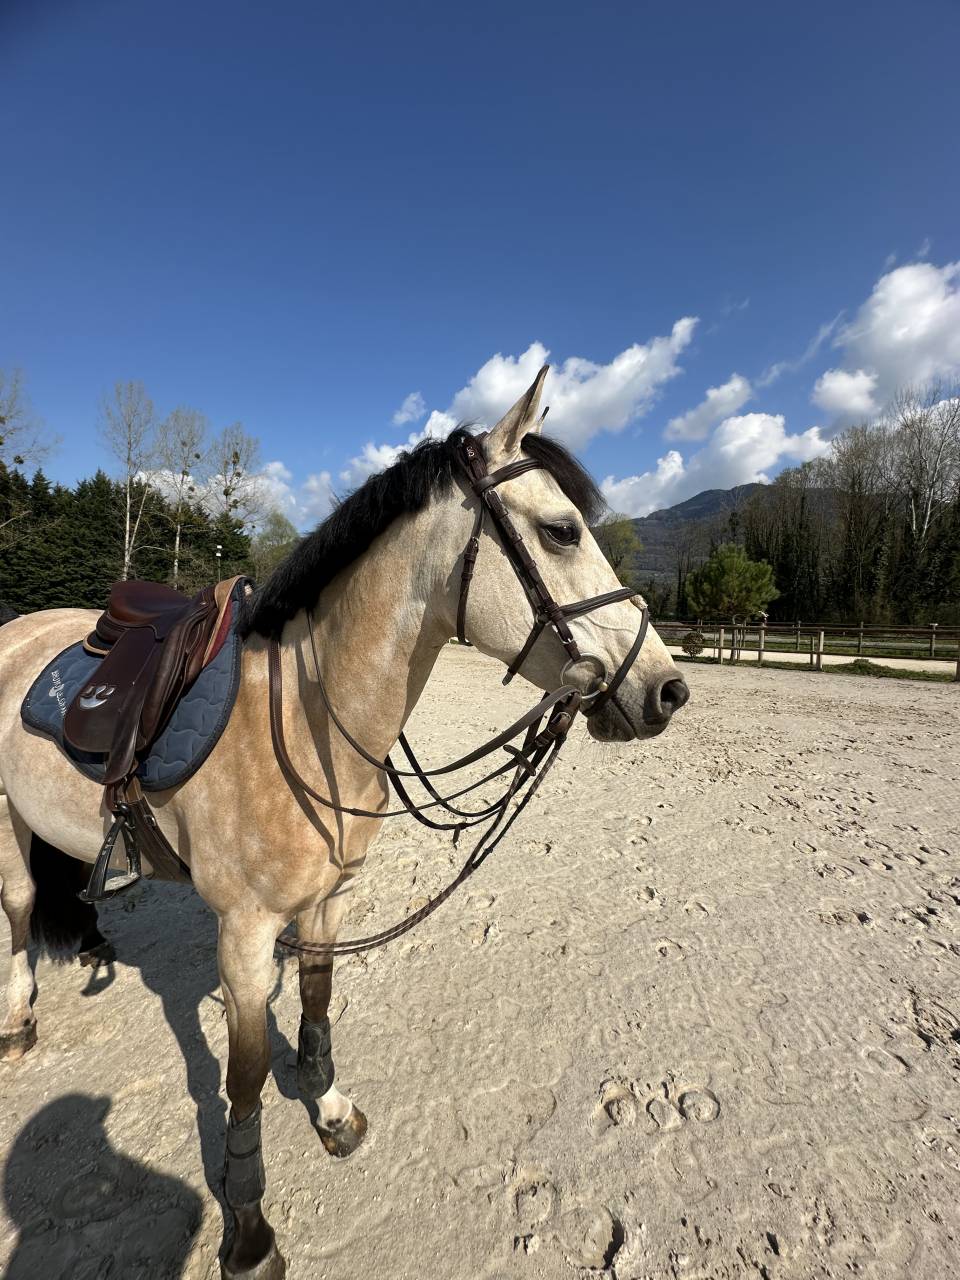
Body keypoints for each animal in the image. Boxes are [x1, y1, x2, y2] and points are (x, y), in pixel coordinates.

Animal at [0, 368, 688, 1278]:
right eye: (561, 530)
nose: (667, 688)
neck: (305, 717)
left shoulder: (329, 902)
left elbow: (319, 1005)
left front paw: (329, 1110)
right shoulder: (246, 934)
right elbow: (244, 1079)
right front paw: (248, 1228)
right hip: (3, 817)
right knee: (15, 907)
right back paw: (18, 1019)